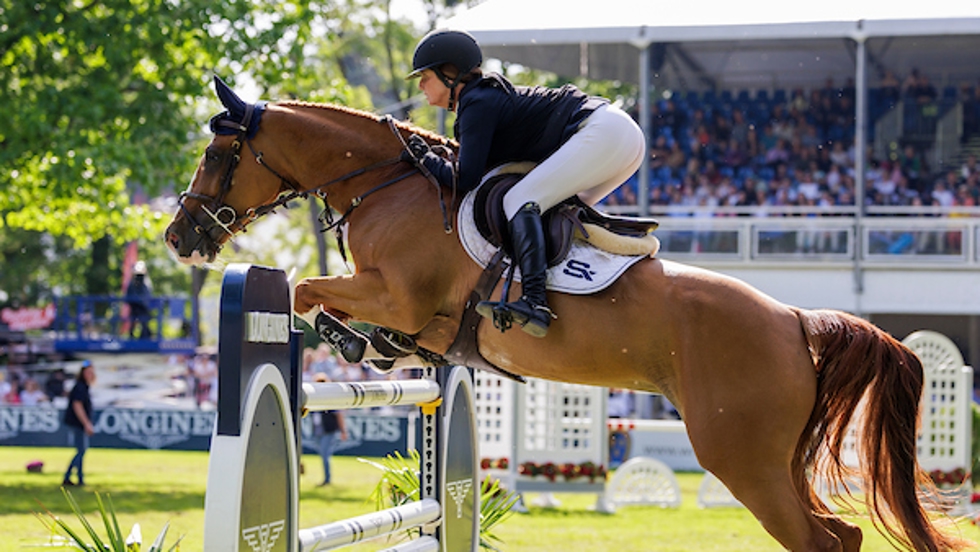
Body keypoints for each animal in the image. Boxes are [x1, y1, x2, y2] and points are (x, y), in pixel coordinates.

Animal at [165, 78, 968, 552]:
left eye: (217, 154)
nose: (179, 237)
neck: (386, 183)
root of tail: (798, 321)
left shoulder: (399, 294)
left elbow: (306, 292)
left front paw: (357, 343)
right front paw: (380, 348)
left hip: (742, 455)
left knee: (820, 538)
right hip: (774, 457)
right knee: (837, 535)